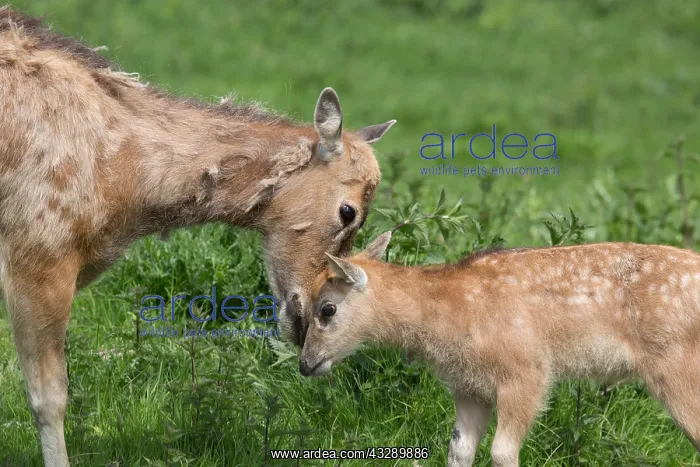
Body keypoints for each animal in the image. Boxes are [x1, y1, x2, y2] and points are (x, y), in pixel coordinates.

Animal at [300, 232, 700, 467]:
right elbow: (459, 451)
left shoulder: (527, 372)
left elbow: (502, 452)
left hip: (676, 365)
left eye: (327, 309)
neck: (449, 312)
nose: (305, 364)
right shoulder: (469, 388)